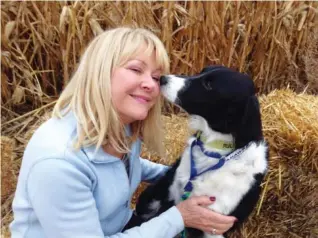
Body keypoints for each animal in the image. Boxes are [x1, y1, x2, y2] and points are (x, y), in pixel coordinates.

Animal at [130, 65, 268, 238]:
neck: (213, 149)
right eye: (203, 70)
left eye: (208, 85)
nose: (162, 78)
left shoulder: (214, 222)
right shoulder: (170, 192)